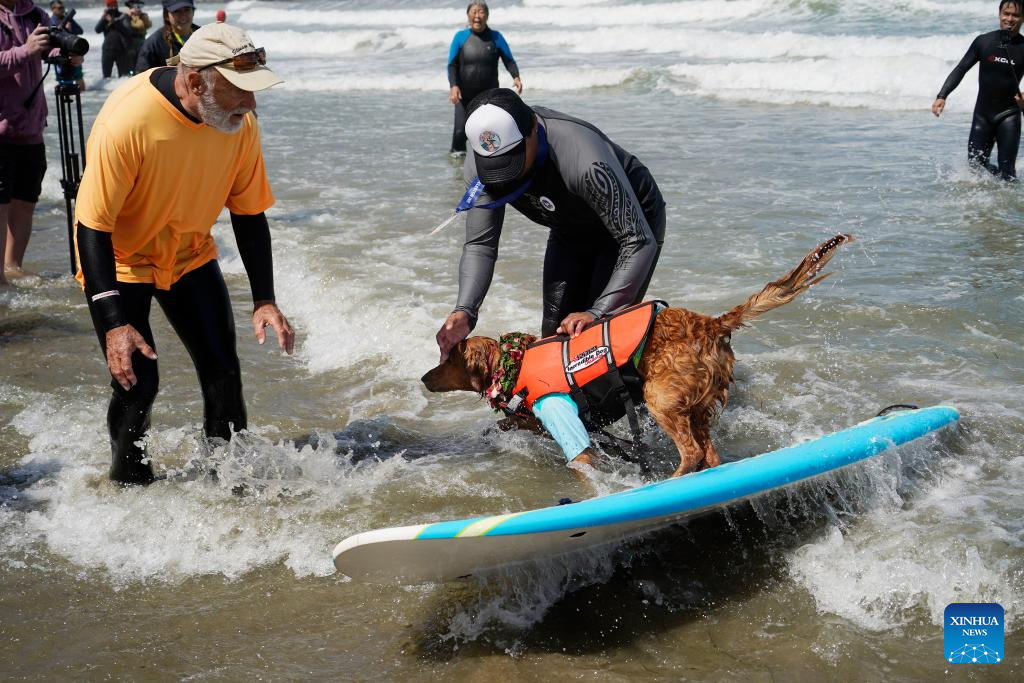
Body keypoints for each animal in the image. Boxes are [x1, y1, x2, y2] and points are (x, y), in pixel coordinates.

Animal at [419, 235, 851, 481]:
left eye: (447, 359)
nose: (423, 378)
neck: (516, 363)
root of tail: (711, 324)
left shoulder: (562, 415)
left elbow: (581, 457)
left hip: (661, 398)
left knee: (693, 452)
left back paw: (672, 479)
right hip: (695, 405)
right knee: (710, 453)